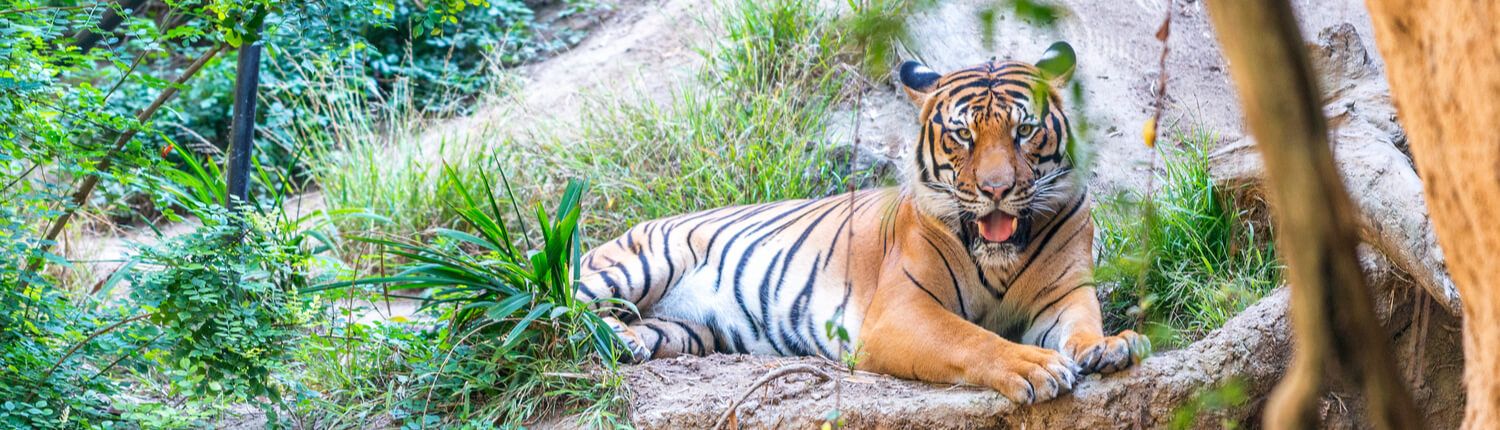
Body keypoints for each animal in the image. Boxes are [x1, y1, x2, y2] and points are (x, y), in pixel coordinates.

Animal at [574, 42, 1148, 404]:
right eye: (963, 136)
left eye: (1024, 131)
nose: (996, 189)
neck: (999, 260)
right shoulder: (900, 312)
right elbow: (972, 339)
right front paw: (1034, 366)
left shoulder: (1065, 293)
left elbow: (1082, 324)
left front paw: (1109, 347)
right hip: (638, 264)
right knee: (564, 304)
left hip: (689, 331)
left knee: (634, 328)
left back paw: (627, 341)